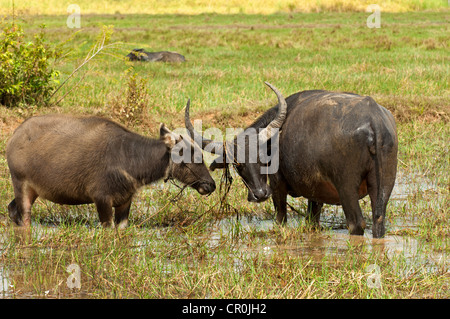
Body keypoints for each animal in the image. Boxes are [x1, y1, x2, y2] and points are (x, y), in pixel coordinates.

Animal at [5, 114, 216, 229]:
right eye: (190, 155)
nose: (210, 184)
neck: (128, 158)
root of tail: (15, 136)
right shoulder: (102, 200)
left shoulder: (125, 203)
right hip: (21, 185)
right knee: (24, 218)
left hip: (32, 191)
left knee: (12, 210)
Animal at [185, 82, 398, 238]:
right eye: (238, 164)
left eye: (262, 158)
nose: (259, 194)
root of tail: (374, 120)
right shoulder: (315, 191)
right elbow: (312, 220)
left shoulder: (277, 185)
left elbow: (281, 218)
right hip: (384, 183)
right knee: (378, 220)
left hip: (346, 187)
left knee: (356, 223)